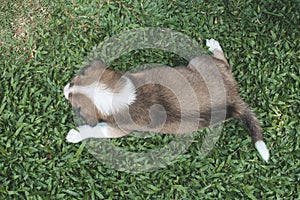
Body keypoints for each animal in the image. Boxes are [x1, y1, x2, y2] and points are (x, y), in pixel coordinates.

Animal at [63, 38, 270, 162]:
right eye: (76, 79)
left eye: (76, 105)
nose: (65, 89)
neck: (117, 95)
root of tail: (234, 97)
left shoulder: (116, 130)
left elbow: (95, 130)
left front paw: (75, 134)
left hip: (199, 62)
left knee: (222, 60)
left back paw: (214, 46)